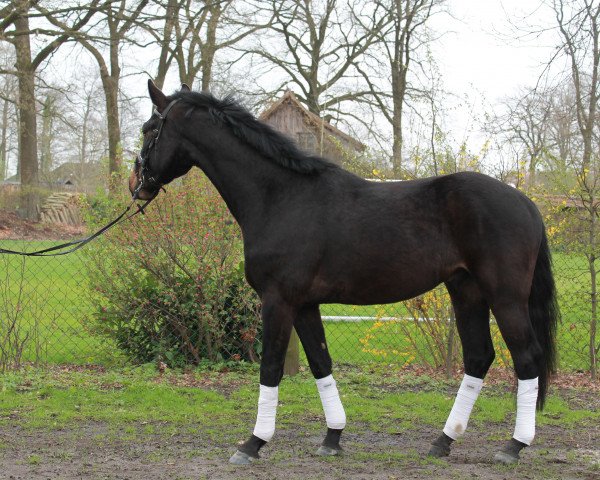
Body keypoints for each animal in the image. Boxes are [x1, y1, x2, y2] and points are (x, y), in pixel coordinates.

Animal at [130, 81, 556, 464]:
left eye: (150, 129)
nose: (136, 184)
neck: (280, 197)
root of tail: (526, 202)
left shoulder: (278, 301)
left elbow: (270, 368)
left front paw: (253, 444)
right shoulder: (304, 305)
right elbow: (321, 363)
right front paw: (332, 438)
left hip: (504, 297)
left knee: (527, 358)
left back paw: (513, 446)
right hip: (466, 291)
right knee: (479, 357)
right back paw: (443, 441)